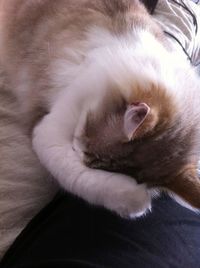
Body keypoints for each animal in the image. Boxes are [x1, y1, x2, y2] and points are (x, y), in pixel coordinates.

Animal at [0, 0, 200, 218]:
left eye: (95, 162)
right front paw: (133, 200)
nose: (76, 149)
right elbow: (77, 175)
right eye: (87, 145)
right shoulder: (48, 130)